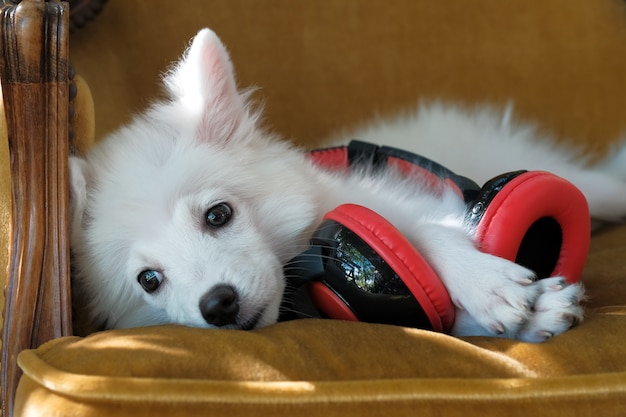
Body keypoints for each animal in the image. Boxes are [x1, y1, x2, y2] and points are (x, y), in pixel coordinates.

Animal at [67, 29, 624, 342]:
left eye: (218, 215)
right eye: (149, 280)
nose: (217, 305)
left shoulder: (397, 199)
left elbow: (433, 231)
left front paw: (486, 282)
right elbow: (430, 317)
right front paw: (533, 315)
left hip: (571, 181)